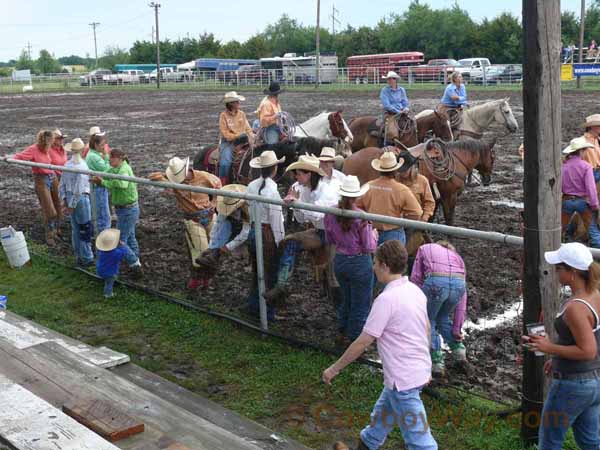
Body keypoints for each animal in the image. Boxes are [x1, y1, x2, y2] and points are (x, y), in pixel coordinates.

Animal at [342, 139, 496, 225]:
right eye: (493, 157)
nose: (487, 179)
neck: (456, 161)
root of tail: (348, 159)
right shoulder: (450, 196)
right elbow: (449, 218)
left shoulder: (435, 195)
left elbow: (431, 215)